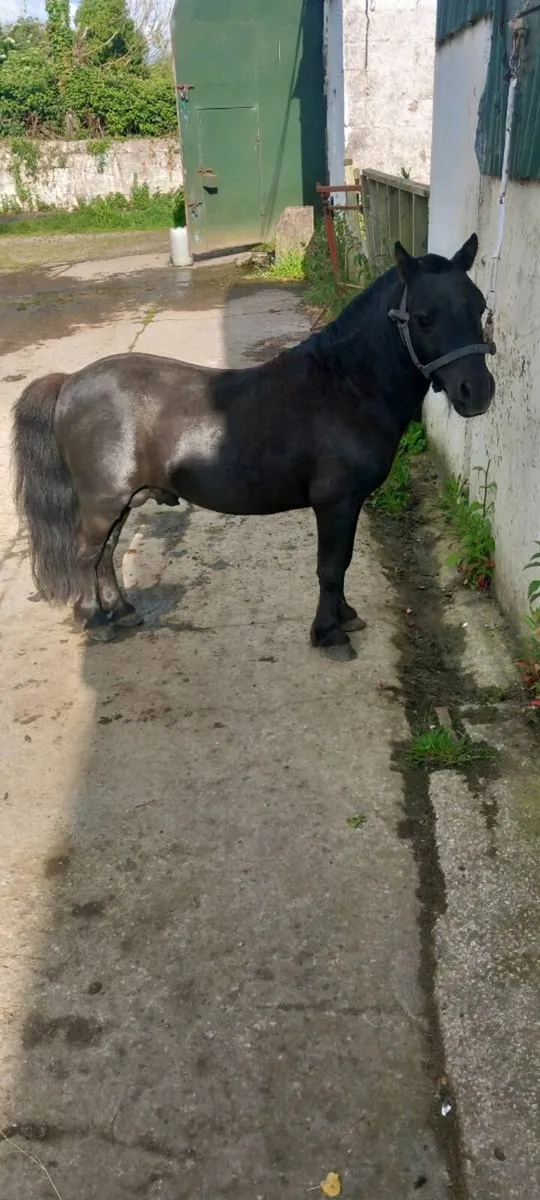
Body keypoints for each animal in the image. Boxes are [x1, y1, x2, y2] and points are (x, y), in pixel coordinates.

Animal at [12, 235, 495, 662]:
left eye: (480, 307)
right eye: (424, 318)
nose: (477, 392)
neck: (345, 386)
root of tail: (71, 382)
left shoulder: (350, 504)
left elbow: (342, 564)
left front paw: (346, 617)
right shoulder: (335, 502)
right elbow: (330, 567)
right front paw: (329, 633)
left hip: (122, 500)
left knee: (107, 553)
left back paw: (123, 611)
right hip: (103, 501)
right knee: (86, 554)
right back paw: (94, 620)